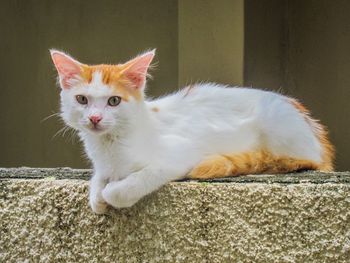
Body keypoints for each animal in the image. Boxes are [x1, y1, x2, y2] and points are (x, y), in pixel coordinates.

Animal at [50, 49, 334, 214]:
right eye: (82, 100)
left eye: (114, 101)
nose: (95, 118)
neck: (110, 145)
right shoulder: (104, 165)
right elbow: (99, 178)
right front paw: (97, 196)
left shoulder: (178, 154)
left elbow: (127, 185)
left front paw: (111, 194)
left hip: (278, 129)